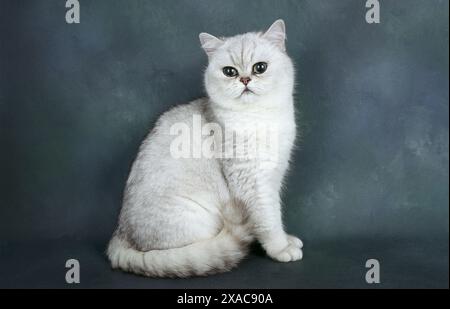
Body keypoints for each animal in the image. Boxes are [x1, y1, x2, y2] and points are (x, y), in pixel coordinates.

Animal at [107, 19, 302, 276]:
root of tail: (121, 235)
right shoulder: (252, 182)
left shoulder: (274, 176)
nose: (245, 79)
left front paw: (287, 239)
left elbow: (276, 213)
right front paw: (281, 248)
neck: (259, 118)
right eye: (230, 71)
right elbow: (268, 221)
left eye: (260, 68)